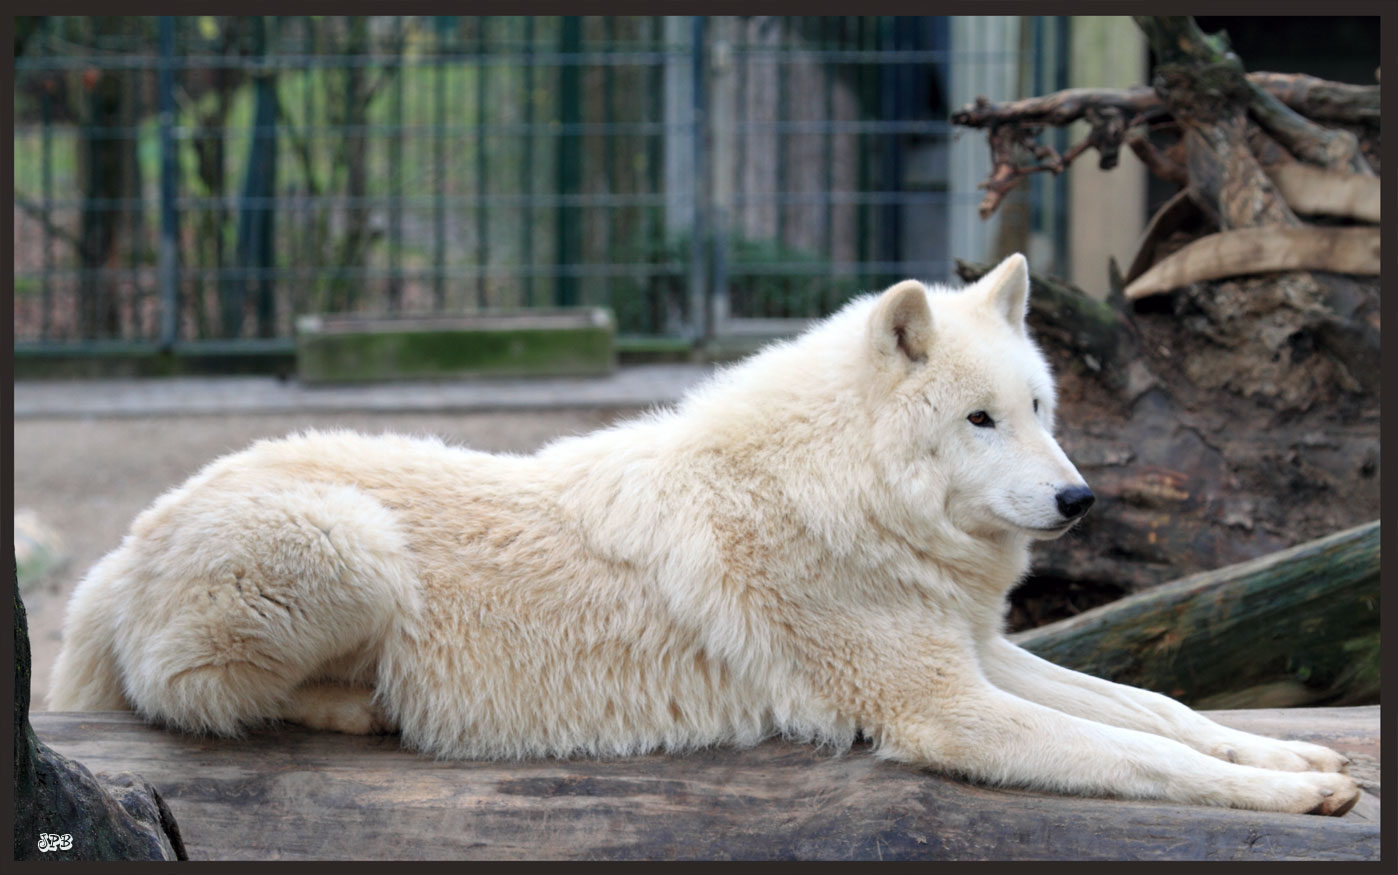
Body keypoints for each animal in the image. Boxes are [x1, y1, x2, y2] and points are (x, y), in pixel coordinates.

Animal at [51, 251, 1353, 810]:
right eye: (979, 419)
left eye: (1040, 409)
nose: (1081, 501)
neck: (839, 492)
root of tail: (119, 548)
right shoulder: (943, 706)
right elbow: (1137, 754)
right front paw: (1294, 798)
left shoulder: (980, 651)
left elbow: (1159, 708)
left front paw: (1295, 758)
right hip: (346, 543)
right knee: (191, 695)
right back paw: (365, 705)